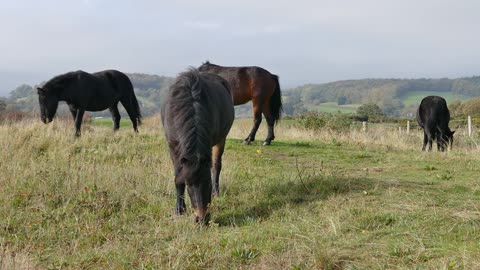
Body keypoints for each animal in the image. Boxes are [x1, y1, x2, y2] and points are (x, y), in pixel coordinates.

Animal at [161, 68, 234, 225]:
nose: (201, 219)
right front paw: (179, 209)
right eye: (188, 184)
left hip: (221, 139)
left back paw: (217, 192)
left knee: (216, 165)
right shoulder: (173, 147)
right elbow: (178, 177)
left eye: (208, 182)